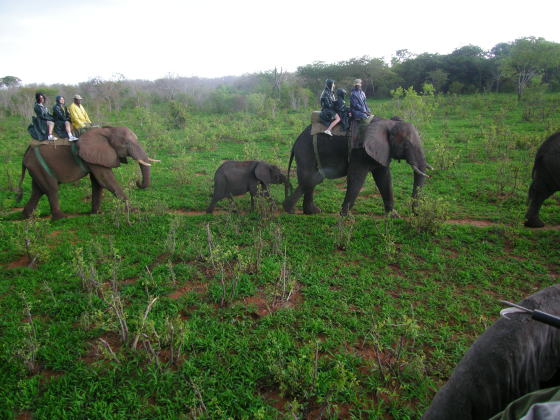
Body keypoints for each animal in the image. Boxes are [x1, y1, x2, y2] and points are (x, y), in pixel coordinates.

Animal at [16, 126, 157, 220]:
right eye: (126, 143)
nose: (138, 182)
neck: (107, 130)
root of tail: (26, 152)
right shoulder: (95, 155)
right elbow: (106, 181)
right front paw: (134, 211)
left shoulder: (94, 158)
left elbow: (97, 183)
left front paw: (96, 213)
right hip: (39, 165)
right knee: (51, 189)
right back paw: (61, 218)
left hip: (36, 167)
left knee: (38, 190)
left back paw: (26, 216)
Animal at [282, 117, 430, 216]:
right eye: (406, 145)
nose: (416, 214)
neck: (388, 123)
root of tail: (295, 142)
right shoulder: (360, 151)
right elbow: (357, 178)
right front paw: (345, 216)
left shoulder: (381, 151)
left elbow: (384, 178)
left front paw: (393, 216)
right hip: (305, 152)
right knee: (310, 178)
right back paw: (292, 210)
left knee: (311, 180)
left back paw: (312, 212)